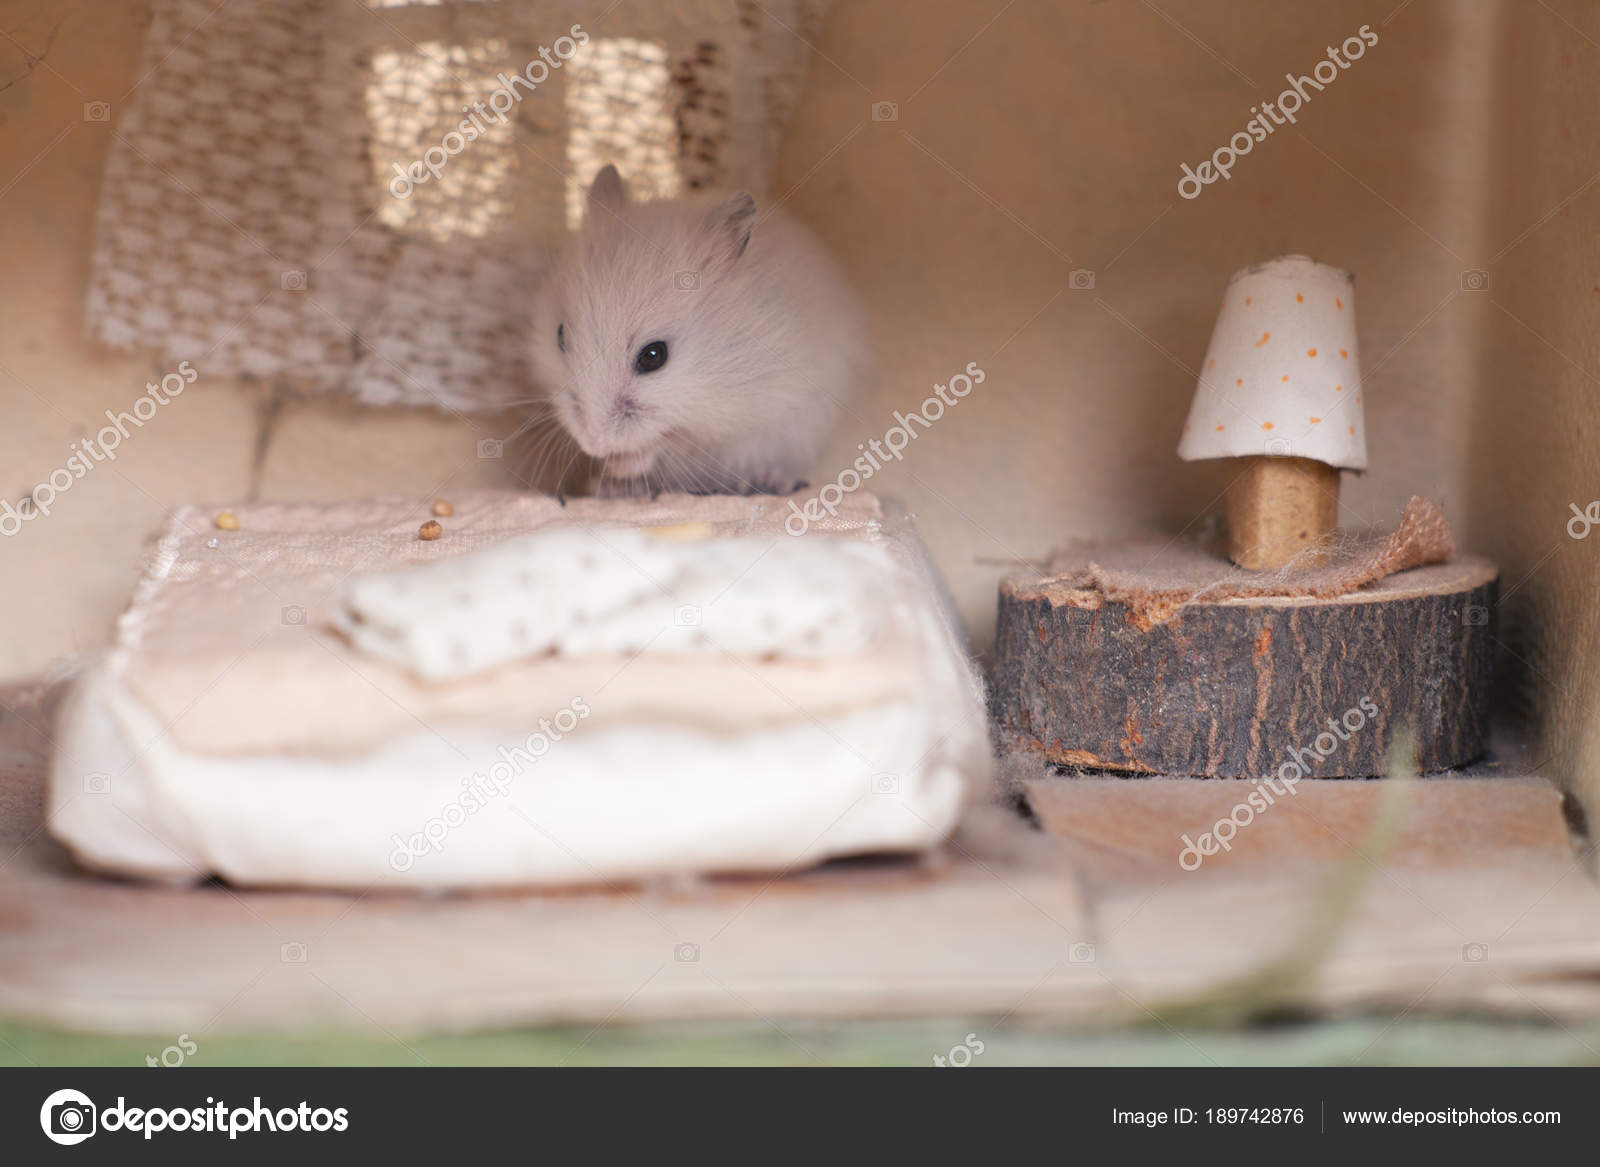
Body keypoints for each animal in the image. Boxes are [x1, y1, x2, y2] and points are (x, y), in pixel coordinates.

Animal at [528, 165, 866, 496]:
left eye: (654, 355)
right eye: (560, 336)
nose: (593, 444)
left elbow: (671, 441)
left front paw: (620, 464)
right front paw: (610, 468)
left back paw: (768, 480)